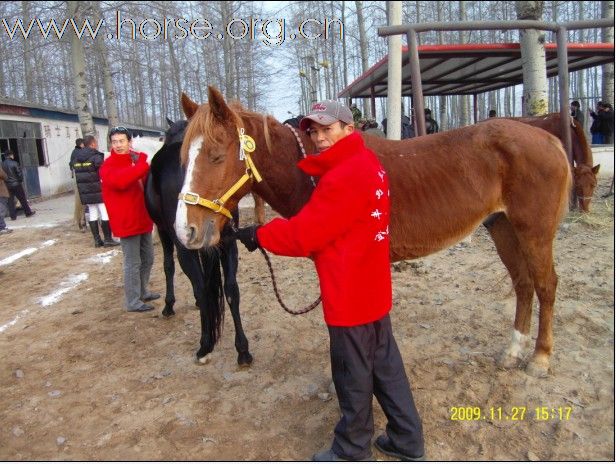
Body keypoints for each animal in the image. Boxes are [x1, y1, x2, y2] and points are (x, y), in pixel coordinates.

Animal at [144, 119, 253, 366]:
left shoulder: (164, 232)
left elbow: (168, 266)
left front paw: (169, 305)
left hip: (184, 245)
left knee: (202, 288)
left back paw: (205, 346)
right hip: (227, 243)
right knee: (231, 288)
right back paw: (243, 350)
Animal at [174, 87, 572, 376]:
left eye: (215, 156)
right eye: (183, 158)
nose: (186, 231)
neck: (320, 171)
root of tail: (549, 139)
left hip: (533, 232)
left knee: (545, 284)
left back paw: (540, 359)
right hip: (502, 227)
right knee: (523, 284)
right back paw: (513, 351)